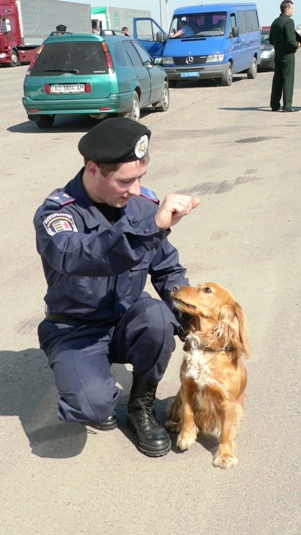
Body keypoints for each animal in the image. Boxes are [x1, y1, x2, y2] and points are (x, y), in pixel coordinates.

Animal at [166, 282, 248, 466]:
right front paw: (186, 435)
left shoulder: (228, 403)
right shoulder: (187, 387)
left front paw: (224, 455)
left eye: (207, 290)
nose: (174, 287)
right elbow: (187, 412)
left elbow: (226, 431)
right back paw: (175, 424)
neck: (205, 347)